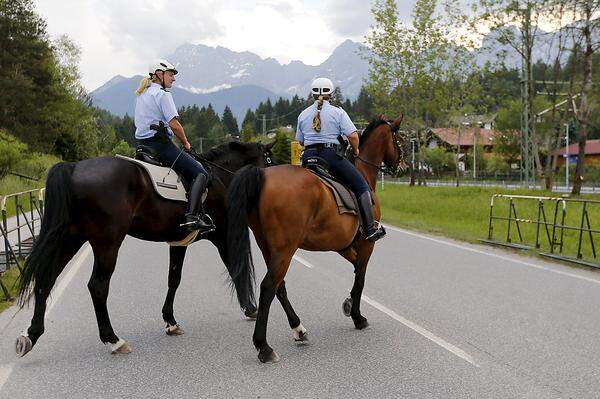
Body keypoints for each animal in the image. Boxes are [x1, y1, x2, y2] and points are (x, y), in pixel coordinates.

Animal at [15, 142, 274, 358]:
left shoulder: (178, 242)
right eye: (269, 160)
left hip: (71, 238)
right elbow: (235, 268)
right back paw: (114, 340)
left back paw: (31, 335)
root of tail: (74, 168)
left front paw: (171, 321)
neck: (218, 177)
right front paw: (250, 307)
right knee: (97, 286)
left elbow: (174, 278)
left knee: (46, 278)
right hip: (107, 242)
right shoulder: (221, 236)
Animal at [227, 116, 406, 362]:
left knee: (279, 287)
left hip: (268, 247)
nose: (403, 167)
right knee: (268, 287)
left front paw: (349, 304)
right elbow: (360, 278)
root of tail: (262, 176)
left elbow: (355, 269)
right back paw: (263, 346)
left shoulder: (343, 245)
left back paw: (298, 329)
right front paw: (357, 316)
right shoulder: (366, 244)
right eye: (399, 139)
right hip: (285, 249)